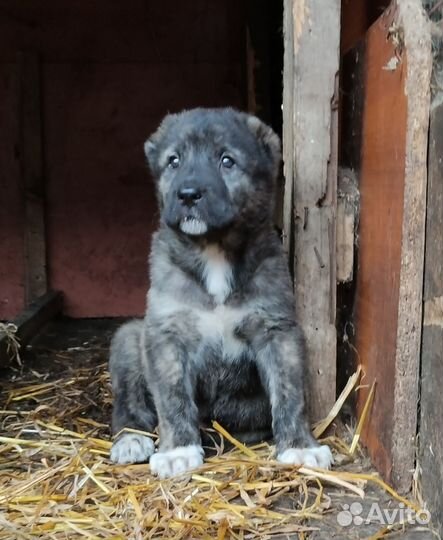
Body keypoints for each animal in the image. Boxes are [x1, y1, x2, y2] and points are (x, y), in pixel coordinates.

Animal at [110, 107, 332, 478]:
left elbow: (290, 393)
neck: (213, 251)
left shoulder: (276, 329)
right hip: (128, 338)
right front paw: (178, 451)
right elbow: (173, 398)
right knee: (127, 404)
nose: (187, 194)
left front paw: (300, 446)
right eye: (173, 161)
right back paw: (132, 439)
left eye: (226, 160)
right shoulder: (166, 334)